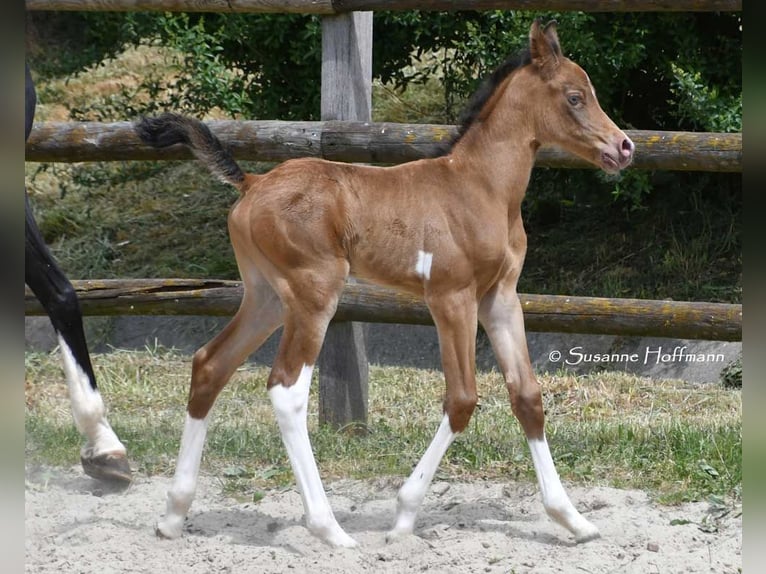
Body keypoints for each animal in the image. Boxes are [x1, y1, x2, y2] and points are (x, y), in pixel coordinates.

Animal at [136, 19, 634, 546]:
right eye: (575, 97)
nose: (624, 147)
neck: (479, 188)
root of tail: (252, 183)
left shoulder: (499, 298)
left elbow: (528, 397)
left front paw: (573, 519)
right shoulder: (451, 298)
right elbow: (462, 399)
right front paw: (404, 516)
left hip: (266, 296)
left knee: (211, 364)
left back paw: (173, 515)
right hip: (314, 294)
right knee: (286, 389)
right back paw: (329, 529)